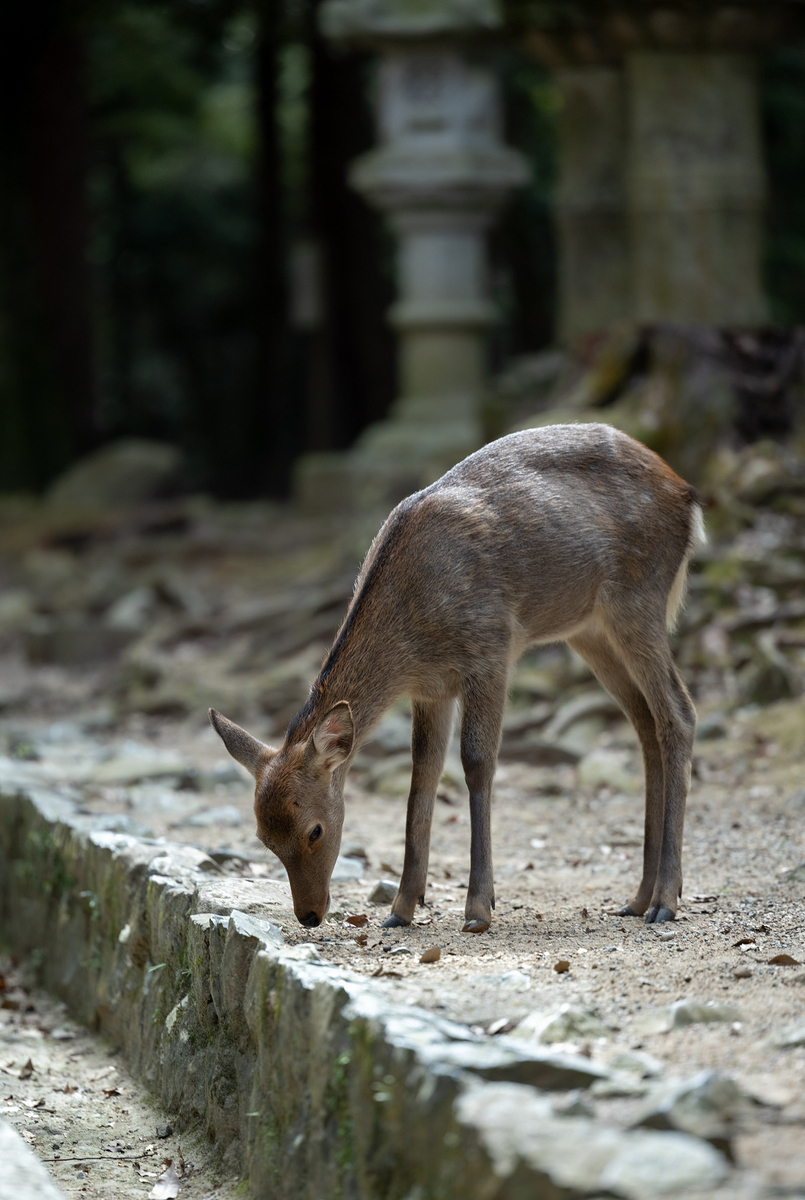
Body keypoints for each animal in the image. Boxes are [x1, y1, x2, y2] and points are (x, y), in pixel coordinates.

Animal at [209, 422, 705, 936]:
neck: (412, 644)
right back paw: (638, 897)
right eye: (264, 838)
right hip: (589, 629)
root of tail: (687, 495)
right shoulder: (430, 689)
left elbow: (476, 762)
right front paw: (401, 909)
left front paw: (478, 908)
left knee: (679, 712)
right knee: (645, 722)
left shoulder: (491, 650)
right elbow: (421, 776)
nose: (308, 915)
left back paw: (666, 899)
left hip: (640, 598)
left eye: (315, 830)